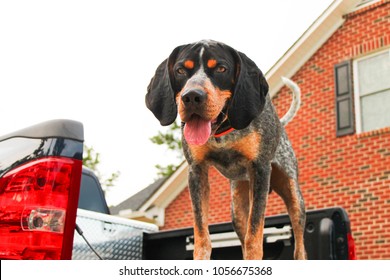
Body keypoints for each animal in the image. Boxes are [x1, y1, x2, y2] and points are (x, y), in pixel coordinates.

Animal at [145, 40, 306, 260]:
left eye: (221, 69)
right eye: (180, 70)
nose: (191, 96)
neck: (222, 132)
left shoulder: (260, 170)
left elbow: (254, 237)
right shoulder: (196, 172)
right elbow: (202, 237)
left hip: (294, 197)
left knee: (299, 246)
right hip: (237, 209)